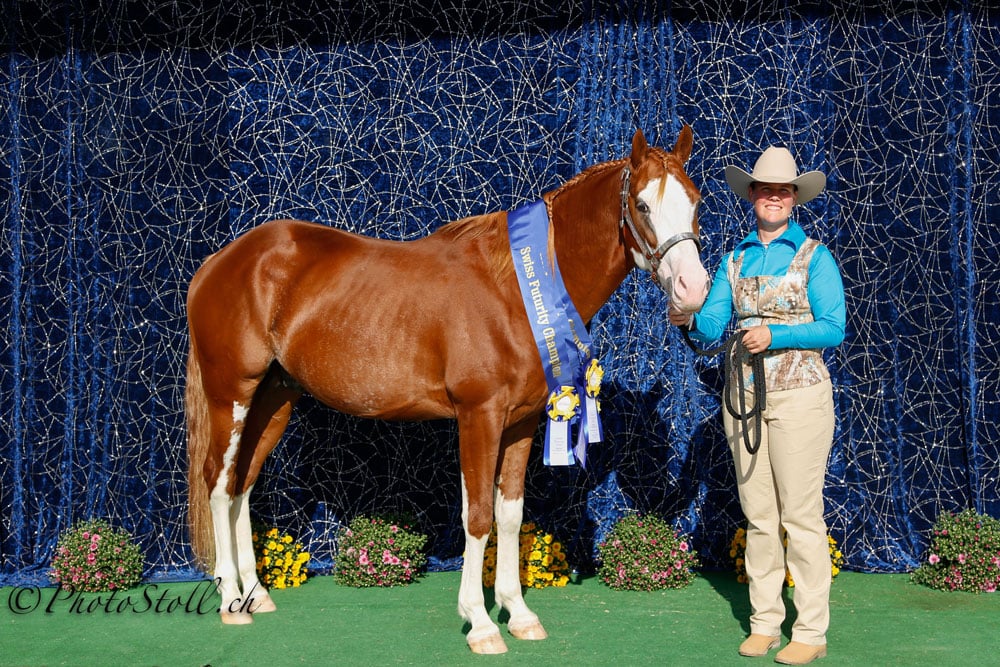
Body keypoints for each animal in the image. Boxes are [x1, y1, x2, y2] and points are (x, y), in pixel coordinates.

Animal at [186, 126, 709, 654]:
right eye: (641, 205)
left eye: (695, 201)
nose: (693, 289)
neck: (516, 289)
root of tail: (219, 261)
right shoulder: (479, 415)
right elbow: (476, 517)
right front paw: (480, 622)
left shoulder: (521, 423)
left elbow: (510, 516)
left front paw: (519, 614)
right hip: (231, 393)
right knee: (218, 481)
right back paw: (231, 600)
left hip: (274, 399)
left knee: (243, 482)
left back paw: (255, 594)